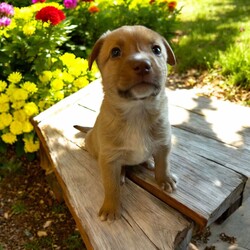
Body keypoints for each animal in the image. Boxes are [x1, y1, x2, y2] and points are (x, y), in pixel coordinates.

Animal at [84, 25, 176, 221]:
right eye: (115, 52)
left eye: (156, 50)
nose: (143, 65)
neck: (137, 110)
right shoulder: (109, 159)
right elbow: (110, 186)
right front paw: (111, 207)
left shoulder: (164, 143)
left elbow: (163, 164)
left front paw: (164, 179)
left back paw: (148, 161)